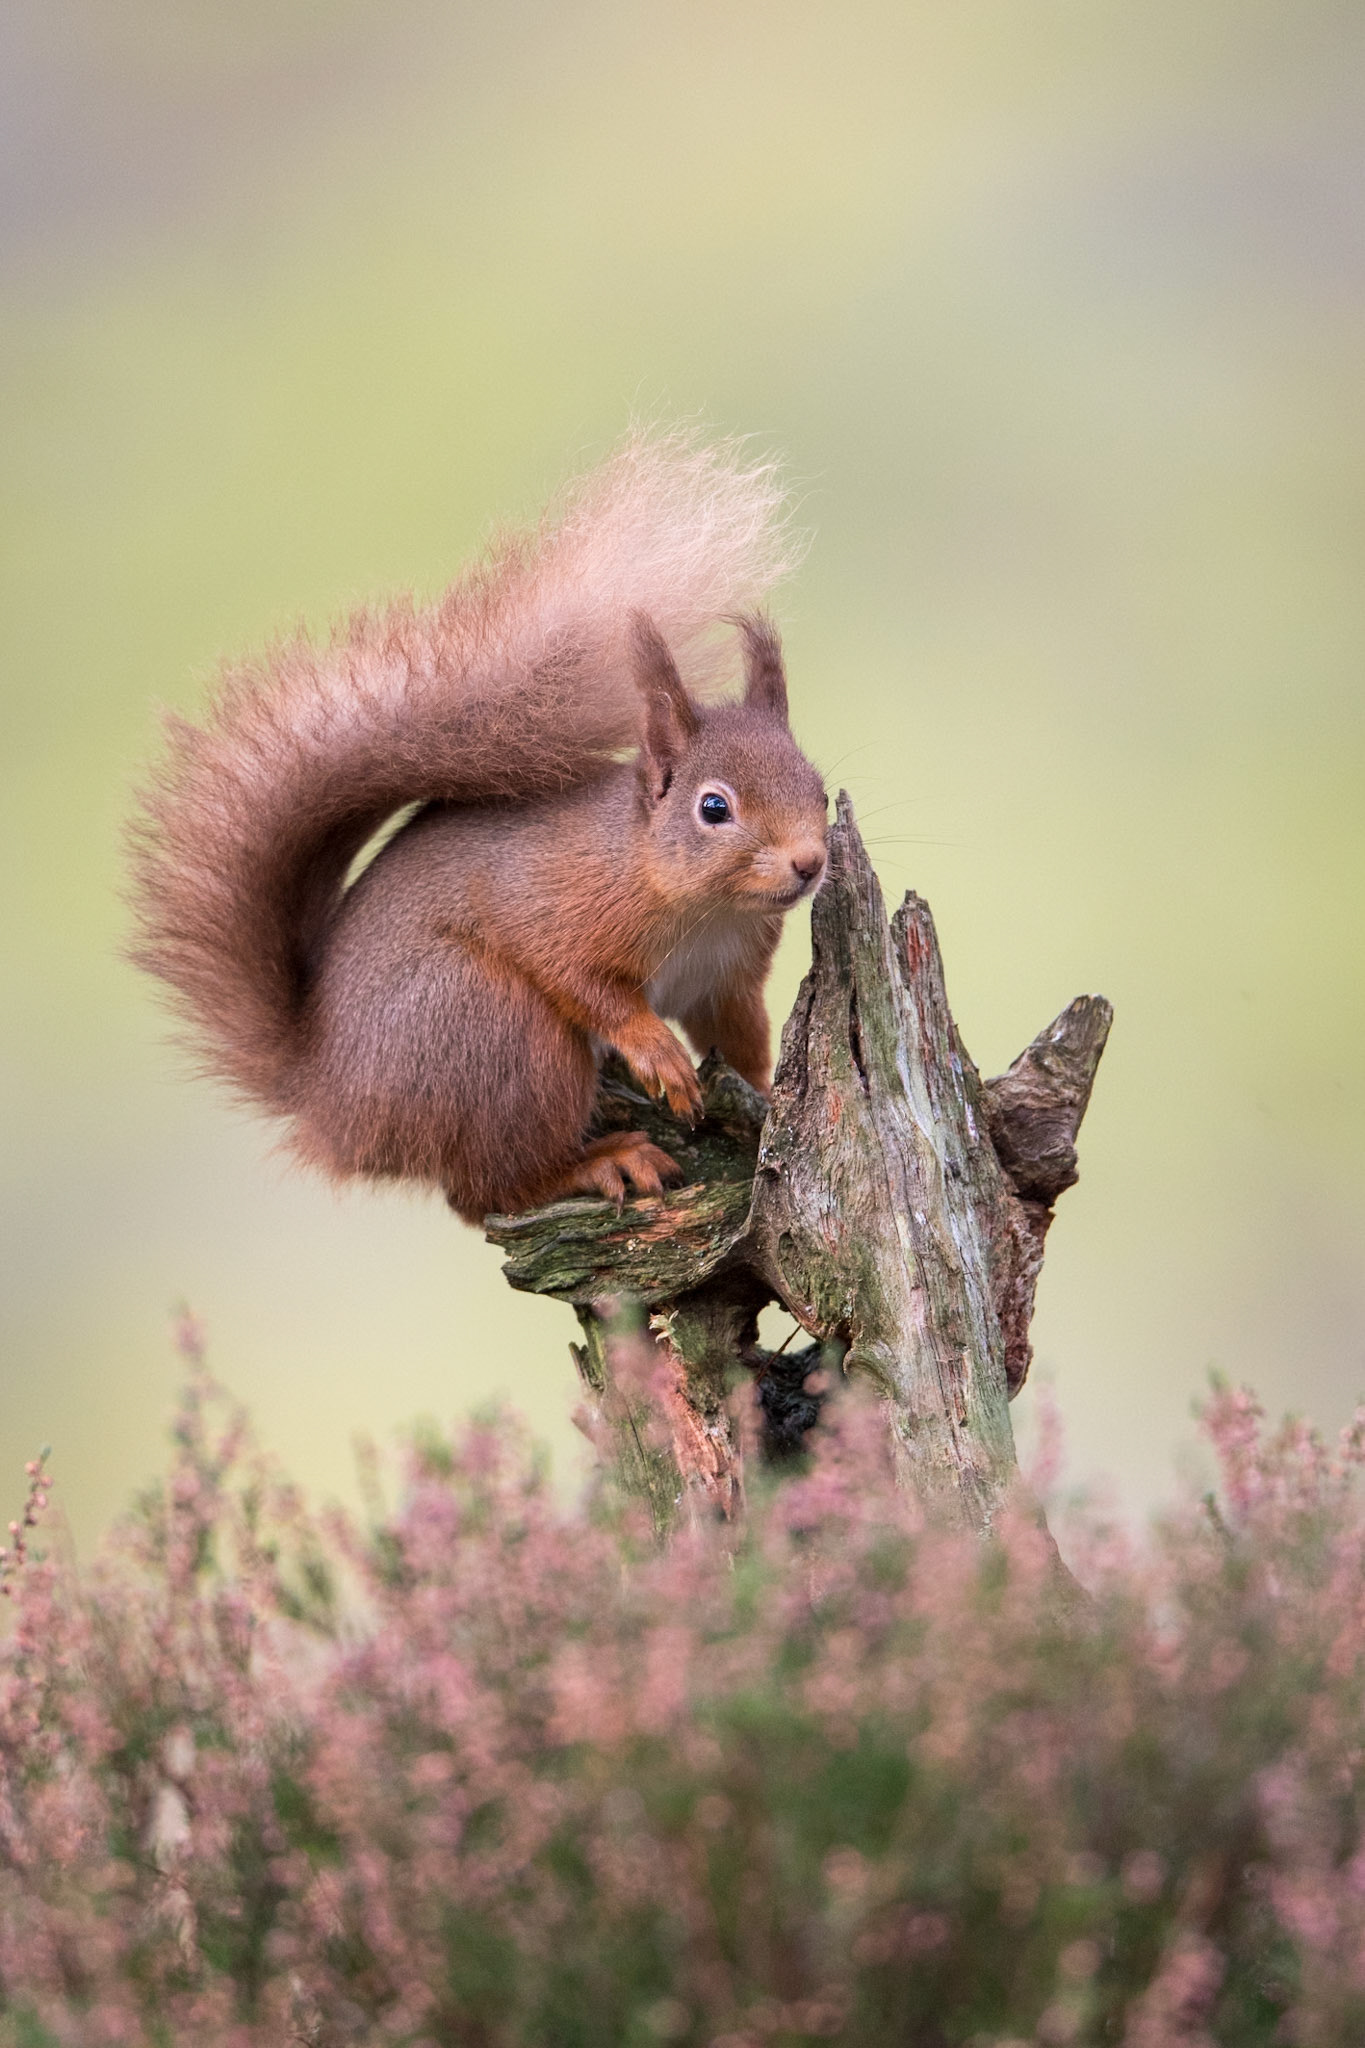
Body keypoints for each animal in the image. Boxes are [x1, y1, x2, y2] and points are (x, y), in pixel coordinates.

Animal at [129, 431, 829, 1222]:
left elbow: (739, 1043)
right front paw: (655, 1052)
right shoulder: (555, 898)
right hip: (497, 1032)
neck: (705, 908)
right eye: (713, 807)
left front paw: (768, 1101)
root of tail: (329, 1104)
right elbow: (573, 973)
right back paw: (597, 1163)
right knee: (487, 1190)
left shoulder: (727, 981)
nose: (809, 862)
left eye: (818, 789)